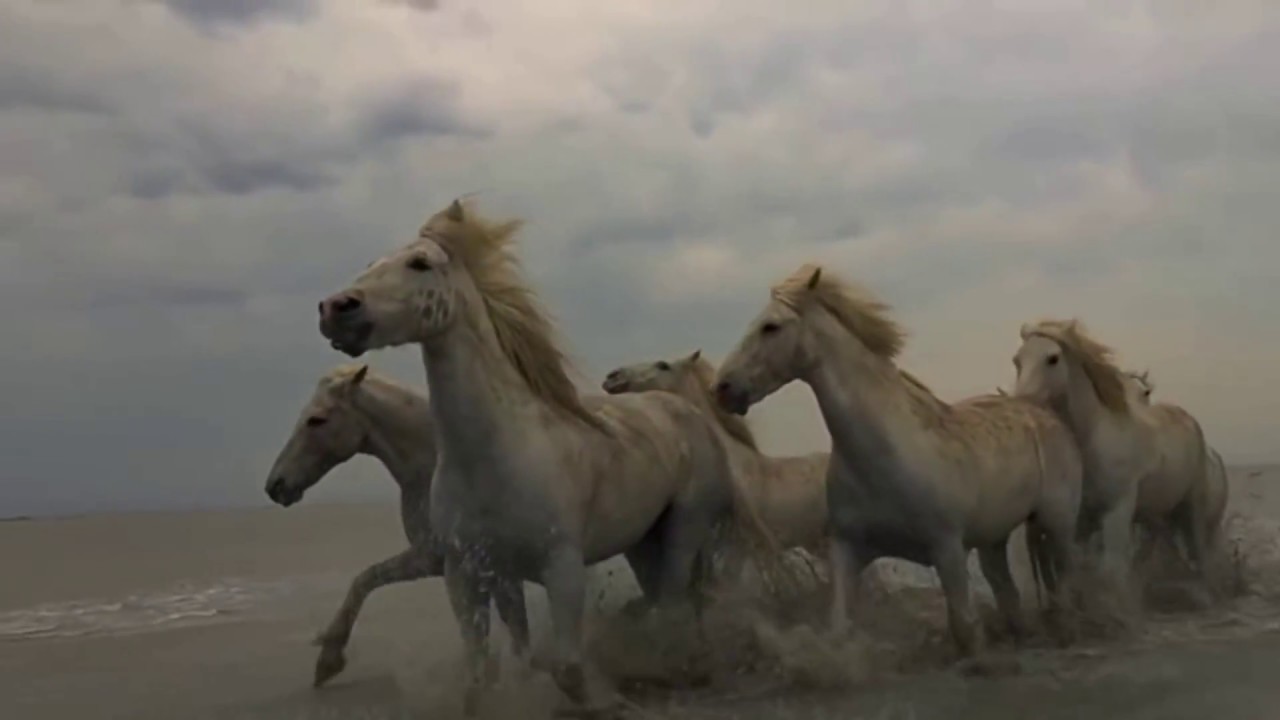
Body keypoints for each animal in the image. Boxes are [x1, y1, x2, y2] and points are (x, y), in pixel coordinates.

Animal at [264, 364, 530, 688]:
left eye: (317, 419)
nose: (276, 486)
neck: (437, 465)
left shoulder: (452, 563)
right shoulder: (442, 561)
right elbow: (366, 578)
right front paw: (329, 657)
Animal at [315, 199, 768, 714]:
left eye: (419, 263)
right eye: (371, 263)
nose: (335, 308)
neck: (495, 457)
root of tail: (688, 411)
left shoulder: (562, 568)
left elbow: (567, 669)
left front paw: (605, 703)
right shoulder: (467, 573)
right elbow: (481, 676)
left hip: (684, 529)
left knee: (673, 604)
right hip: (641, 542)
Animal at [712, 263, 1082, 657]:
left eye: (771, 326)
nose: (723, 388)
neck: (884, 459)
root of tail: (1043, 412)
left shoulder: (948, 550)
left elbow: (965, 629)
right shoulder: (847, 550)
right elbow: (838, 627)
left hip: (1057, 524)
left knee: (1066, 580)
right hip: (993, 540)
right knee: (1007, 593)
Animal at [1014, 321, 1213, 593]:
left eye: (1052, 358)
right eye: (1017, 361)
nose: (1020, 405)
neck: (1091, 445)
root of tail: (1187, 419)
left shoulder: (1117, 513)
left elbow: (1113, 572)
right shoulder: (1081, 523)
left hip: (1192, 507)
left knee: (1199, 554)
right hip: (1155, 517)